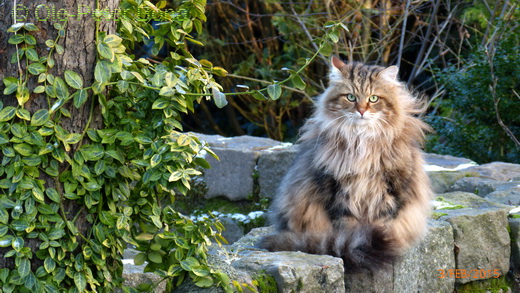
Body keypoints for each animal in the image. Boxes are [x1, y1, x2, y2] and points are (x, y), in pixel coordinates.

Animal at [260, 57, 434, 272]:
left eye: (373, 98)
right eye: (351, 97)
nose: (361, 110)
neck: (361, 140)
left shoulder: (392, 188)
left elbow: (384, 223)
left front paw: (383, 243)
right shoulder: (337, 191)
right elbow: (348, 228)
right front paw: (362, 245)